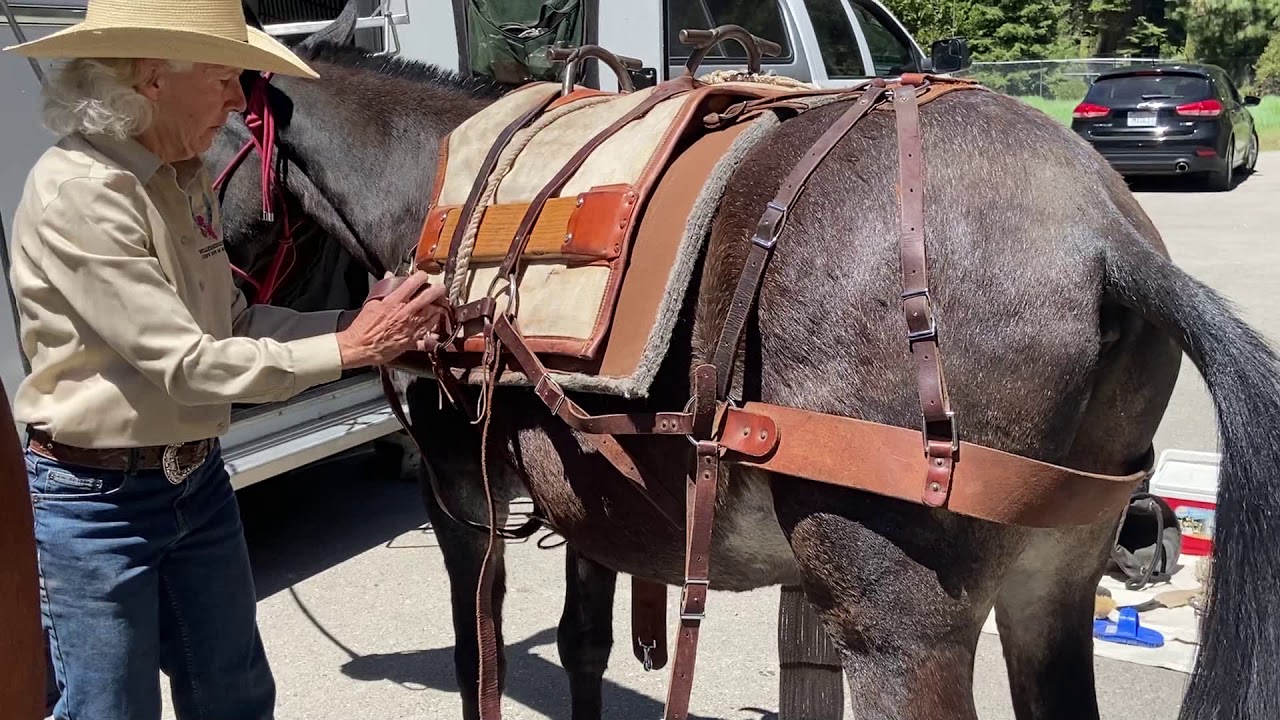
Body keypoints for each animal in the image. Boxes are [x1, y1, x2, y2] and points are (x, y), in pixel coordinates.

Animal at [209, 8, 1280, 720]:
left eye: (201, 144)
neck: (446, 182)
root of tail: (1103, 243)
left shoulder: (458, 488)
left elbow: (482, 658)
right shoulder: (588, 489)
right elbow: (584, 642)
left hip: (902, 625)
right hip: (1052, 585)